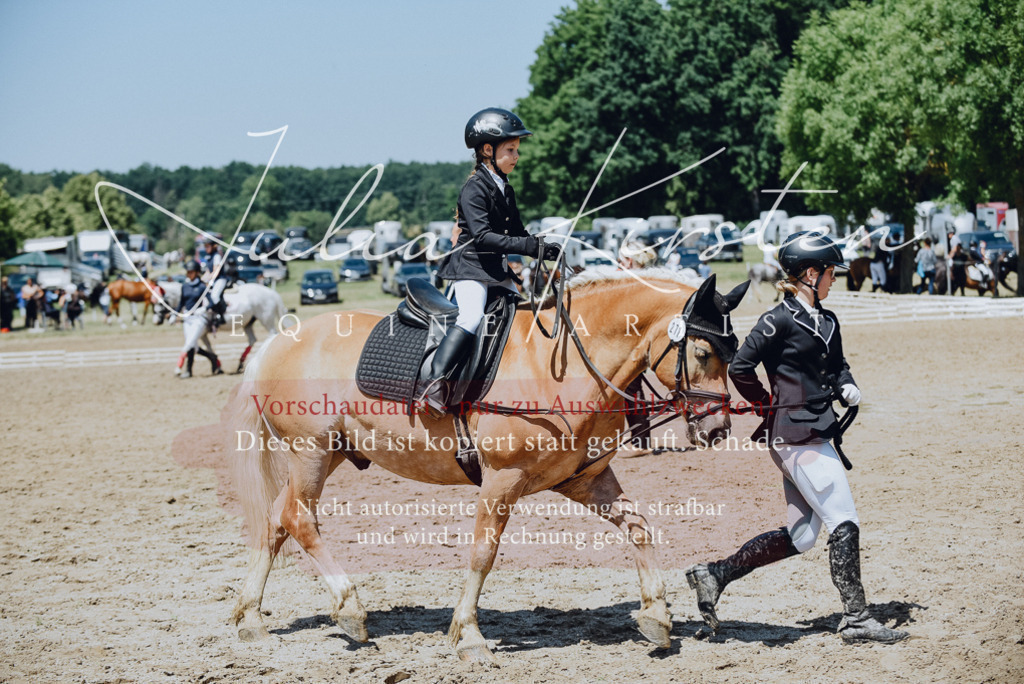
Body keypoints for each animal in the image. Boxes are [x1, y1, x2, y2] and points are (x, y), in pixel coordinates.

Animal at [228, 269, 750, 664]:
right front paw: (469, 636)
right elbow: (484, 553)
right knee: (298, 519)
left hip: (326, 454)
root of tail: (279, 340)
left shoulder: (584, 479)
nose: (718, 429)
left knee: (275, 522)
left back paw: (252, 619)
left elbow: (639, 527)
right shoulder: (502, 480)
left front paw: (656, 616)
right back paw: (351, 610)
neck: (562, 367)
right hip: (311, 453)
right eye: (702, 352)